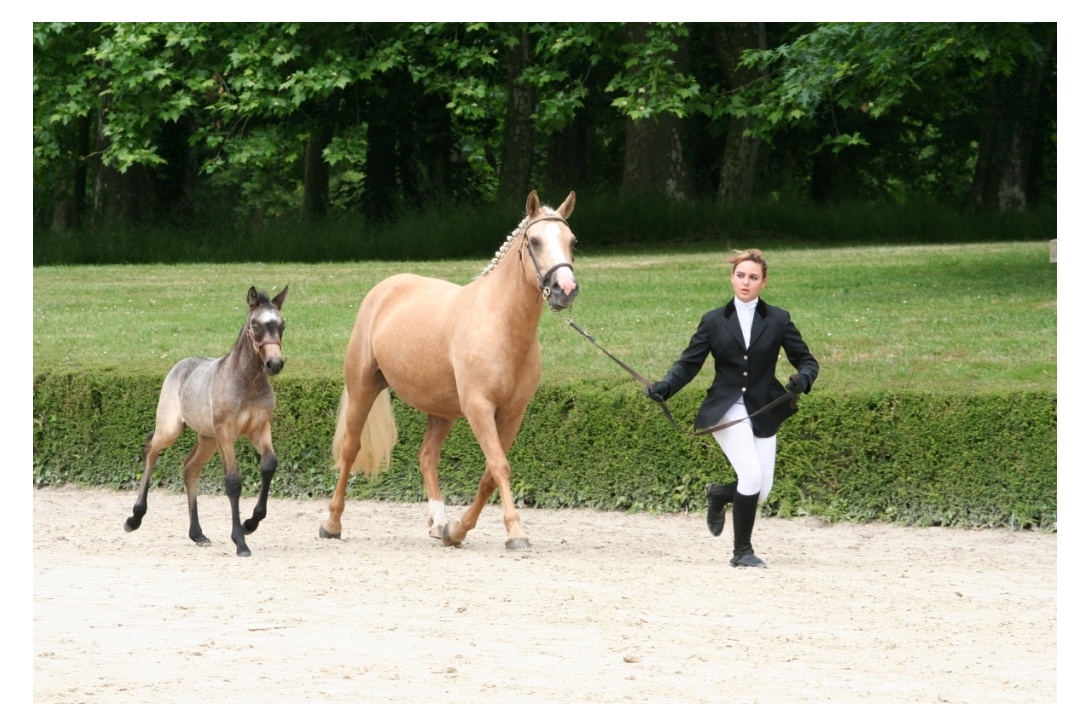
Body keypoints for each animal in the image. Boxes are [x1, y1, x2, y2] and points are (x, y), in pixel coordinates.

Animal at [124, 285, 287, 558]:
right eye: (255, 325)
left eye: (282, 325)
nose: (274, 363)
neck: (247, 382)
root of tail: (180, 365)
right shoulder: (226, 434)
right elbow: (233, 482)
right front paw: (240, 542)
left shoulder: (260, 428)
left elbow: (269, 464)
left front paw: (251, 523)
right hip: (172, 429)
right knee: (151, 449)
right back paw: (134, 518)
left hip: (208, 439)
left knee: (190, 467)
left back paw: (197, 534)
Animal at [320, 190, 579, 549]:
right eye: (535, 241)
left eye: (572, 241)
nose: (564, 289)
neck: (500, 325)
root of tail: (385, 288)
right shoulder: (479, 409)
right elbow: (499, 466)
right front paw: (515, 532)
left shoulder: (512, 414)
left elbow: (489, 475)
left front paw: (456, 530)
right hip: (363, 390)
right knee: (349, 449)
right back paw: (332, 523)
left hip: (440, 411)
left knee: (427, 456)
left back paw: (439, 523)